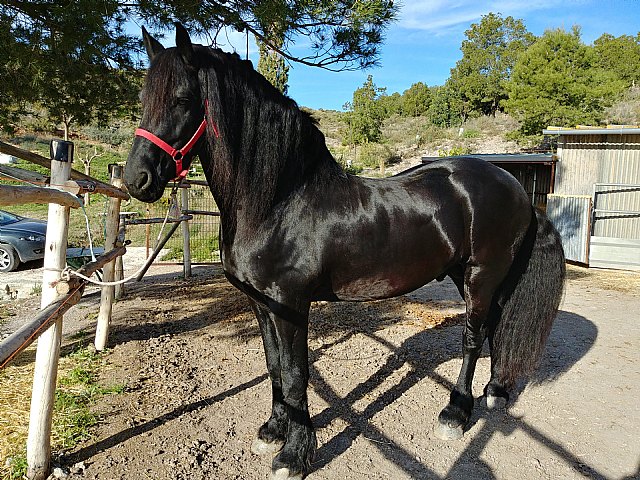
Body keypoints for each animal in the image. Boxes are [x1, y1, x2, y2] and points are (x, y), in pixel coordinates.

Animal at [124, 24, 565, 480]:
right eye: (143, 99)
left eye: (182, 98)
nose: (136, 179)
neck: (280, 200)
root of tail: (516, 189)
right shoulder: (261, 304)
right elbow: (274, 367)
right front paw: (272, 432)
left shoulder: (290, 305)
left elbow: (296, 374)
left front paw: (294, 455)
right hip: (473, 276)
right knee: (496, 324)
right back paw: (495, 391)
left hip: (482, 274)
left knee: (472, 338)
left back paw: (455, 414)